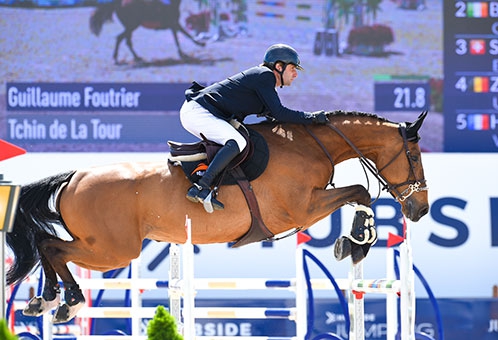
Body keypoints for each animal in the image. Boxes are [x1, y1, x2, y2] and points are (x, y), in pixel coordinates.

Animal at [5, 109, 430, 324]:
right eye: (414, 156)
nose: (421, 208)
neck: (311, 145)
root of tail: (74, 176)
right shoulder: (303, 208)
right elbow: (360, 193)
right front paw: (355, 241)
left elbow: (358, 195)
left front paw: (352, 242)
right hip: (113, 250)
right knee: (53, 248)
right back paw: (68, 300)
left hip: (105, 247)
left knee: (47, 245)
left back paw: (45, 300)